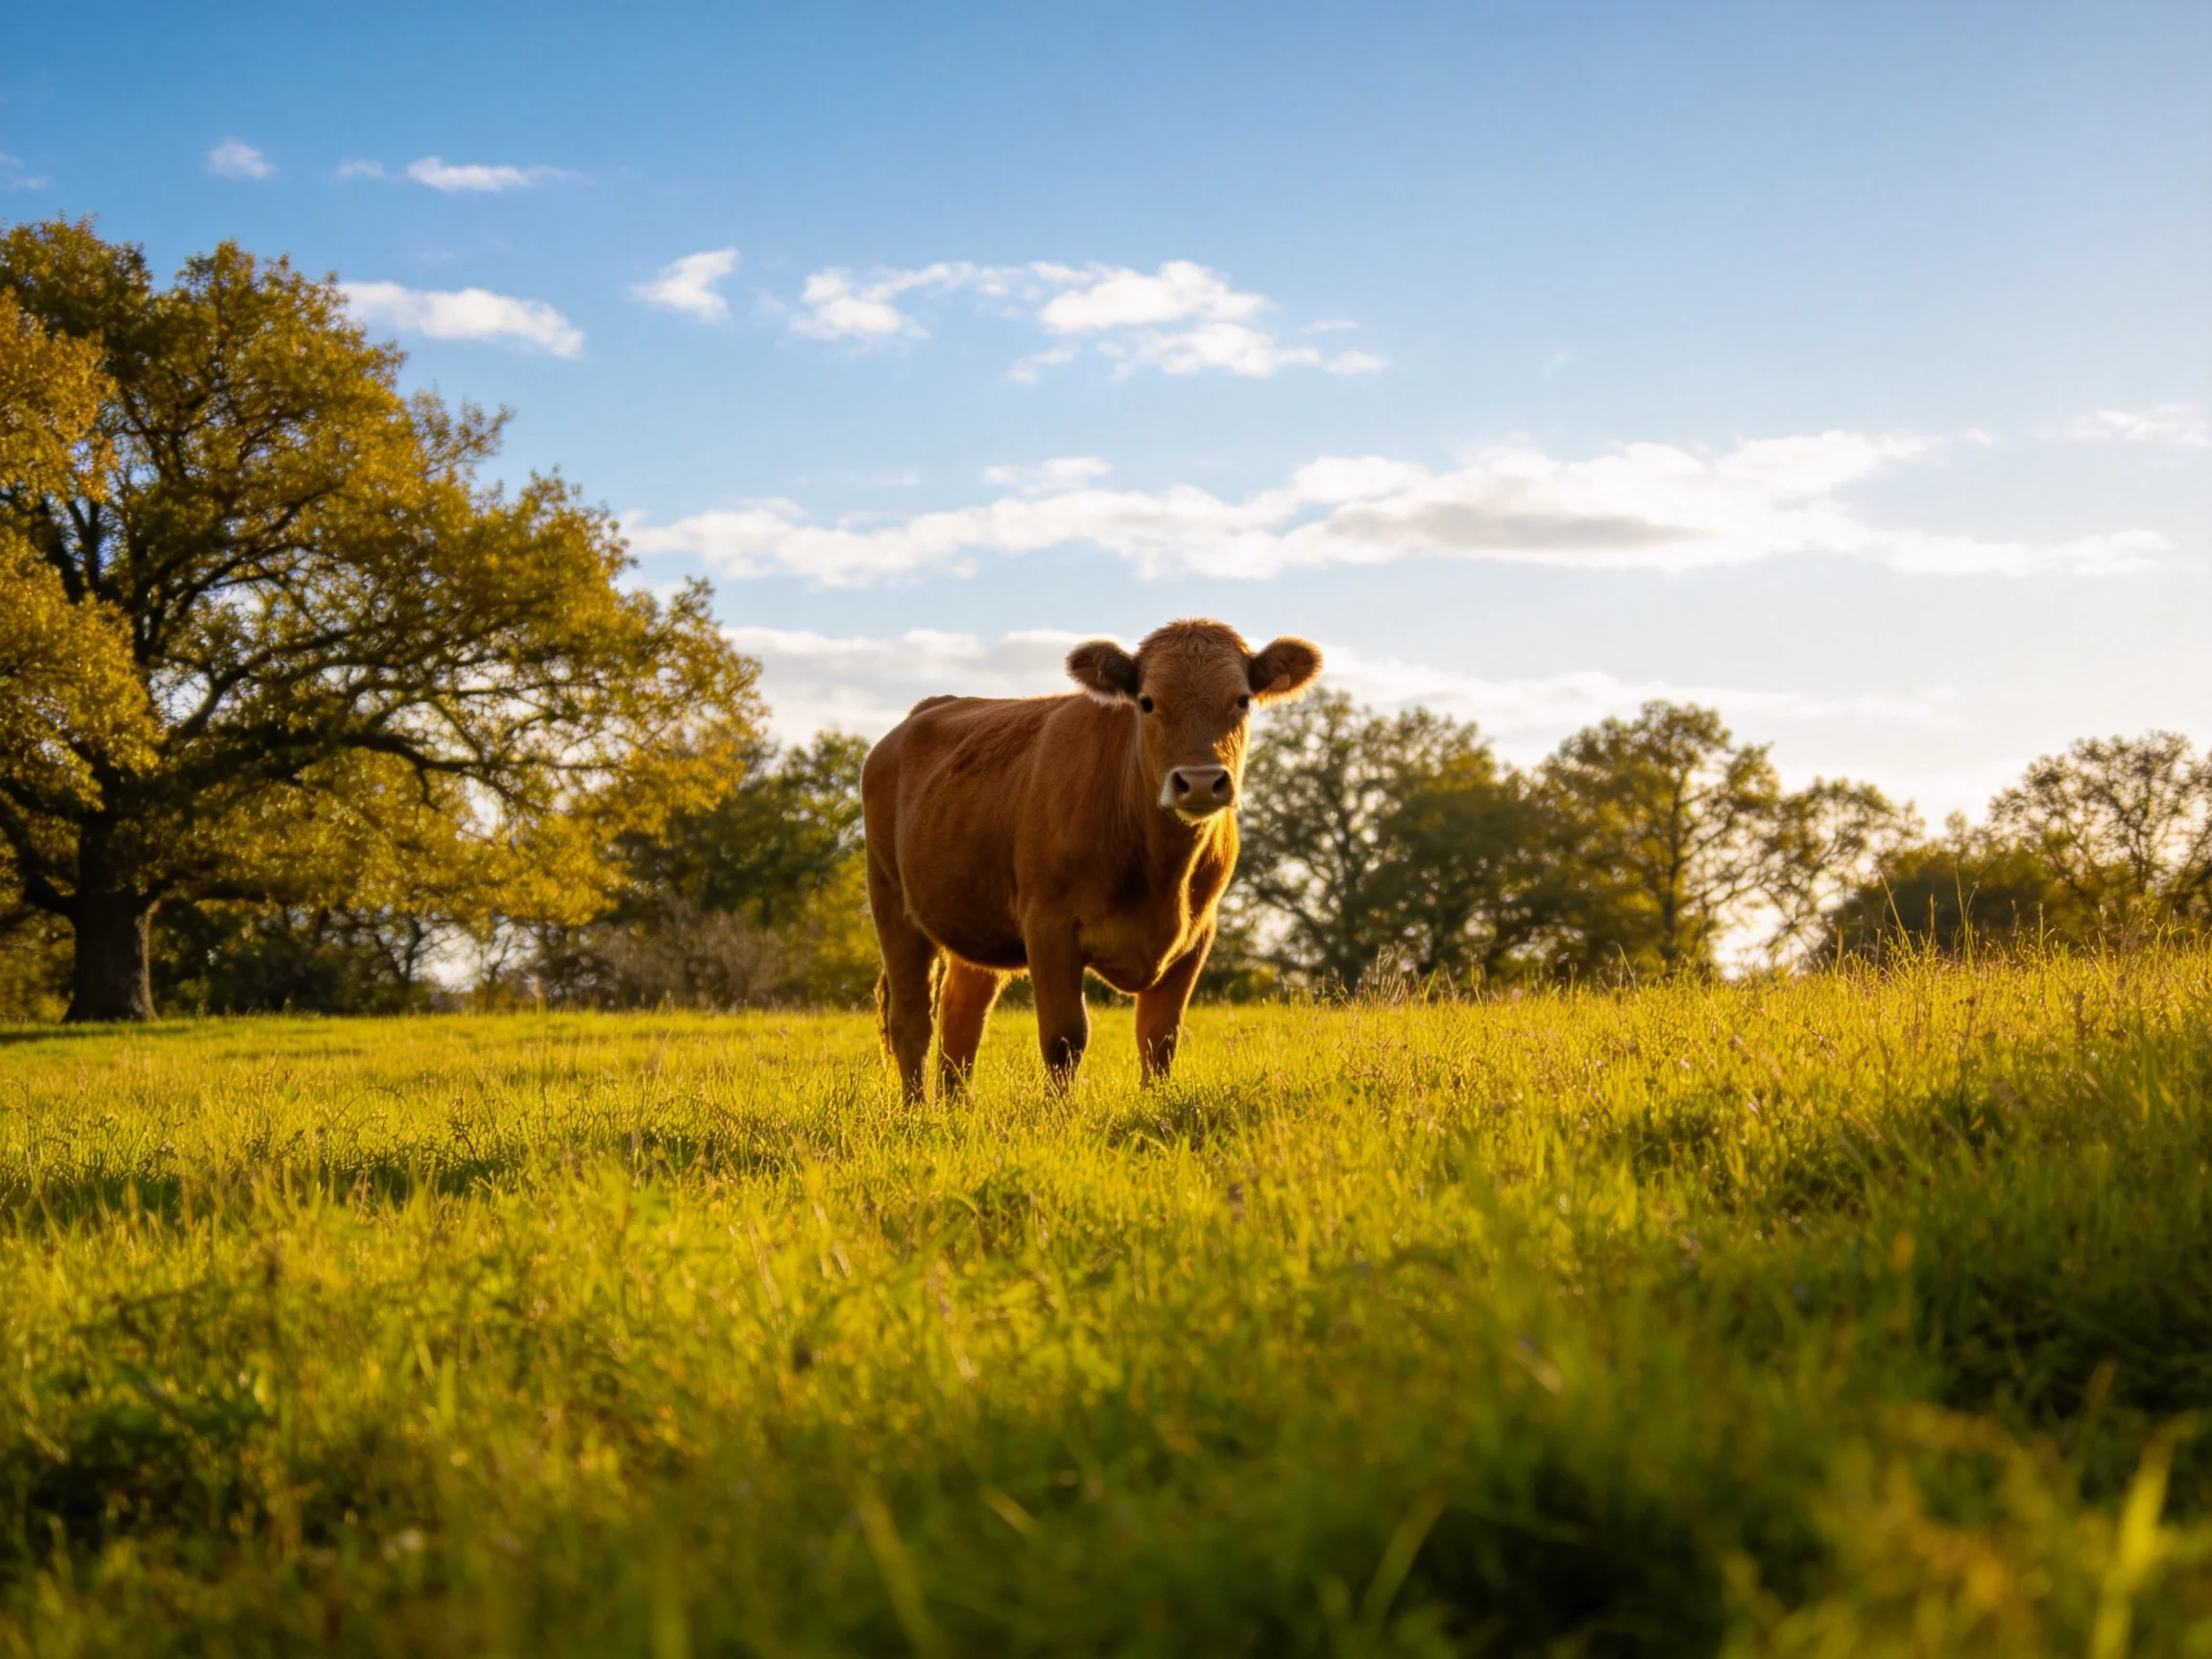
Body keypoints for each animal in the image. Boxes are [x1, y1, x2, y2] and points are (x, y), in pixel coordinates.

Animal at [862, 618, 1322, 1101]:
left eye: (1242, 699)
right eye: (1147, 702)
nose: (1199, 782)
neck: (1161, 874)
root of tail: (926, 710)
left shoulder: (1197, 936)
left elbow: (1160, 1038)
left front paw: (1151, 1106)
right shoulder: (1049, 927)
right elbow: (1065, 1039)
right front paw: (1060, 1114)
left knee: (961, 1014)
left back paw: (955, 1108)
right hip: (890, 899)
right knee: (912, 1019)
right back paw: (917, 1110)